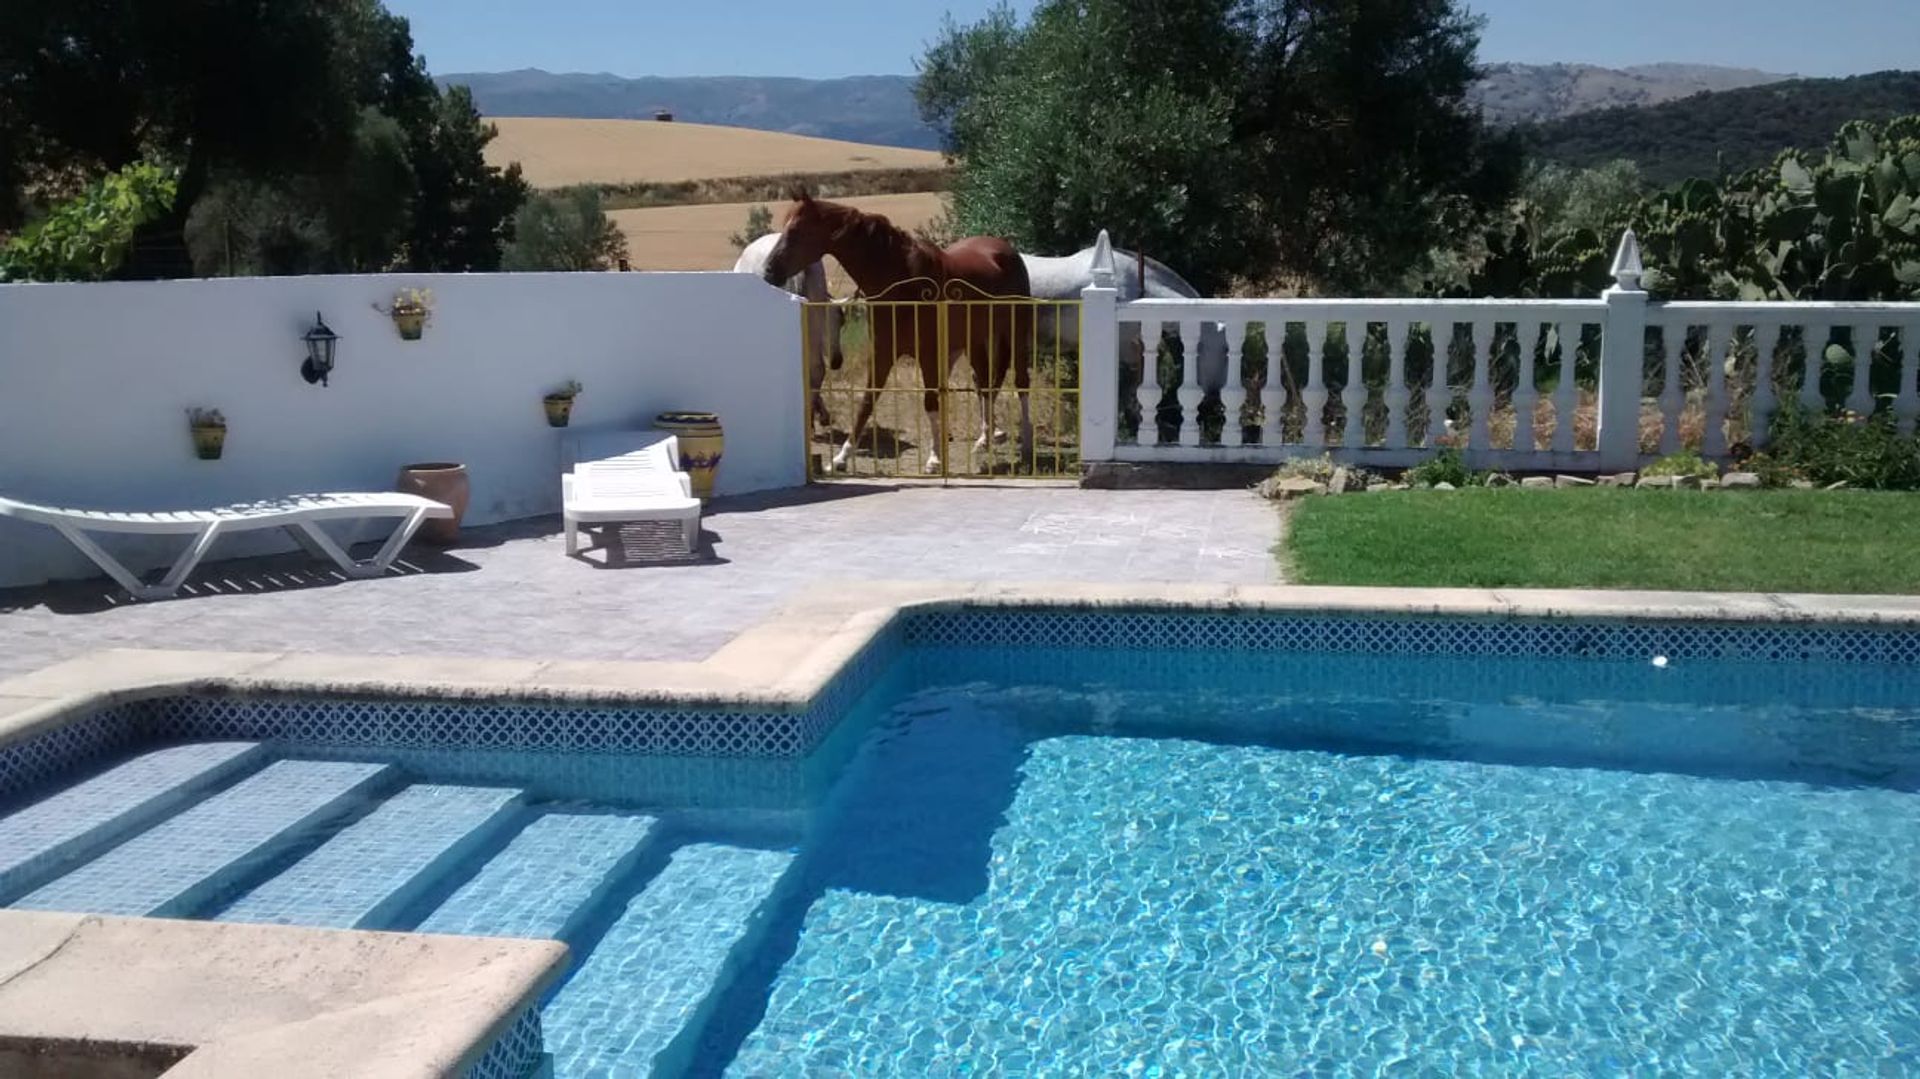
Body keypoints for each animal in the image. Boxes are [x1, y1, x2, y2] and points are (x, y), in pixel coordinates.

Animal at [764, 191, 1036, 468]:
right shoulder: (883, 353)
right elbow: (867, 402)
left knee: (1021, 382)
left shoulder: (928, 355)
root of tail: (1006, 250)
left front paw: (934, 458)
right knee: (984, 382)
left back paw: (1026, 445)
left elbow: (930, 402)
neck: (901, 281)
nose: (769, 271)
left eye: (796, 231)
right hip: (975, 339)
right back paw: (985, 439)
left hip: (1015, 330)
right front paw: (841, 457)